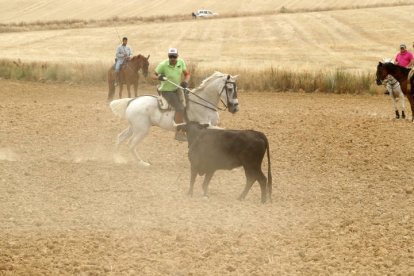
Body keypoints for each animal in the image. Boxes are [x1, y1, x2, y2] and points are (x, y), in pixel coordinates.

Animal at [109, 71, 239, 166]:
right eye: (230, 89)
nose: (235, 108)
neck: (203, 103)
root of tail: (132, 100)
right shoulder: (207, 126)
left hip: (134, 127)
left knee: (120, 137)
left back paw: (117, 159)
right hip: (142, 130)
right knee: (131, 144)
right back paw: (142, 163)